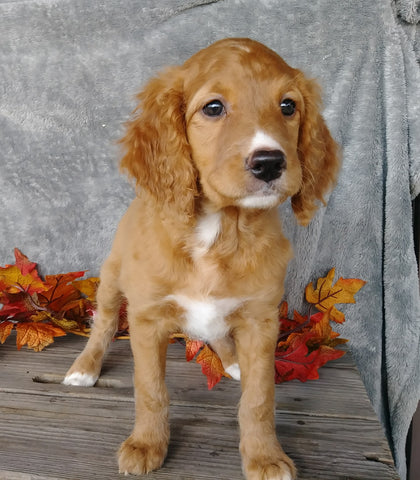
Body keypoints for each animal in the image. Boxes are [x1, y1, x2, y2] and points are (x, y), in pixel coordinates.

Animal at [64, 38, 340, 480]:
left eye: (288, 106)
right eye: (213, 108)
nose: (269, 162)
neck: (220, 232)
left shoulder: (262, 319)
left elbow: (259, 397)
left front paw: (264, 455)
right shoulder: (147, 319)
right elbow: (150, 389)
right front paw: (146, 444)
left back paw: (232, 361)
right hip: (111, 278)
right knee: (103, 323)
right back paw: (85, 367)